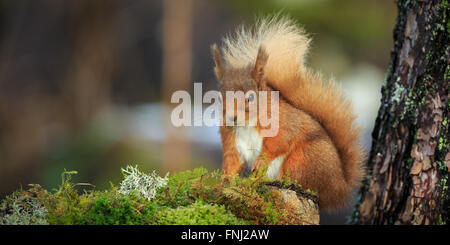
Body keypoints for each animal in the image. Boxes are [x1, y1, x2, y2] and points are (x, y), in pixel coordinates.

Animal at [212, 16, 366, 210]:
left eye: (251, 97)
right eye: (220, 97)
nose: (232, 117)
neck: (246, 124)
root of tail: (339, 187)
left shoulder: (283, 123)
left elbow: (280, 141)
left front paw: (261, 160)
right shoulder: (232, 138)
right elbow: (232, 161)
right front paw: (224, 181)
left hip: (302, 159)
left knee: (308, 186)